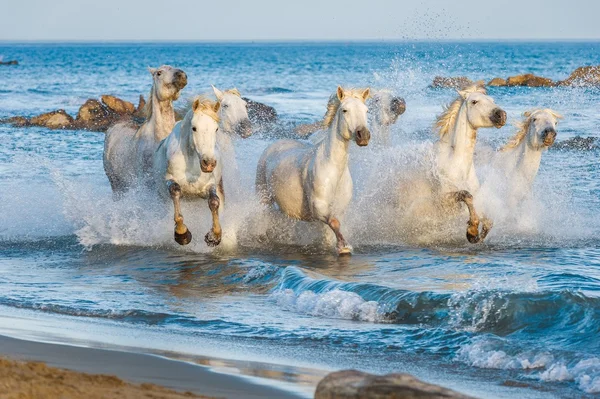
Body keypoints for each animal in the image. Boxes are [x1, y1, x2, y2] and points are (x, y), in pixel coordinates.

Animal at [152, 97, 223, 247]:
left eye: (216, 129)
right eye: (194, 128)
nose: (209, 163)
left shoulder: (209, 185)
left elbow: (214, 201)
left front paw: (214, 236)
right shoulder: (170, 179)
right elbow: (175, 191)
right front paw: (182, 233)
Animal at [254, 87, 370, 256]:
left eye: (366, 110)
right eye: (345, 110)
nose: (364, 135)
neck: (334, 171)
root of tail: (273, 146)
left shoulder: (339, 209)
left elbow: (332, 229)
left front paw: (339, 246)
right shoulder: (318, 207)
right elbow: (334, 223)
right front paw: (344, 247)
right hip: (263, 197)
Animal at [396, 84, 504, 244]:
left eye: (492, 100)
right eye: (474, 102)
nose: (501, 115)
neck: (457, 164)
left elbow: (488, 220)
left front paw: (475, 235)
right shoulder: (443, 202)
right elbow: (466, 195)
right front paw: (472, 230)